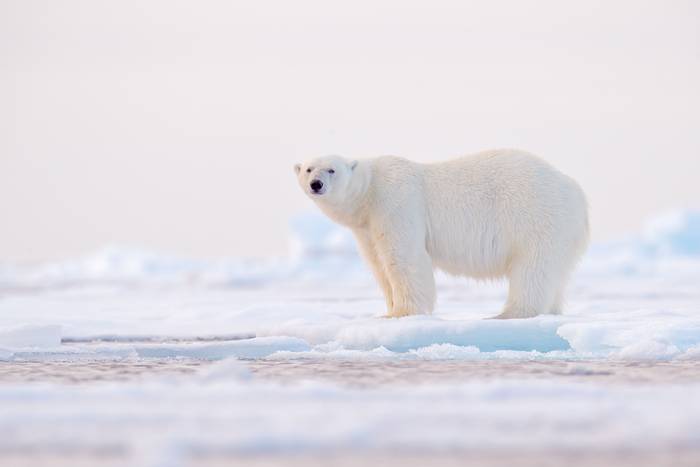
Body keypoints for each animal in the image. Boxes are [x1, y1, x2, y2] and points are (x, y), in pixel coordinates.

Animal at [292, 150, 588, 318]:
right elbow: (379, 265)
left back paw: (509, 314)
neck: (369, 191)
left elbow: (404, 258)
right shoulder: (365, 227)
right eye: (308, 168)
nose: (316, 184)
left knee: (532, 268)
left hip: (535, 216)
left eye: (331, 169)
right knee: (555, 274)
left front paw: (402, 313)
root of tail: (576, 191)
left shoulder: (395, 202)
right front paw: (388, 309)